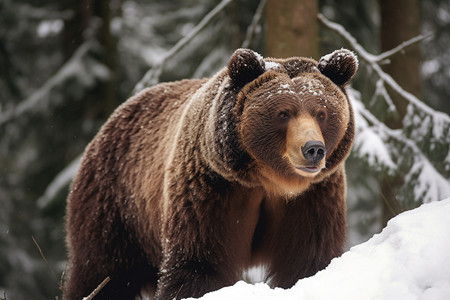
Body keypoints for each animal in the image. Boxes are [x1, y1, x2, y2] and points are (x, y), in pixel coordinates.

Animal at [64, 48, 358, 298]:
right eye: (283, 113)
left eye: (321, 113)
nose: (313, 149)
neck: (268, 181)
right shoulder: (212, 189)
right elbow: (199, 262)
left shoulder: (313, 197)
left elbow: (308, 258)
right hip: (117, 205)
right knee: (103, 272)